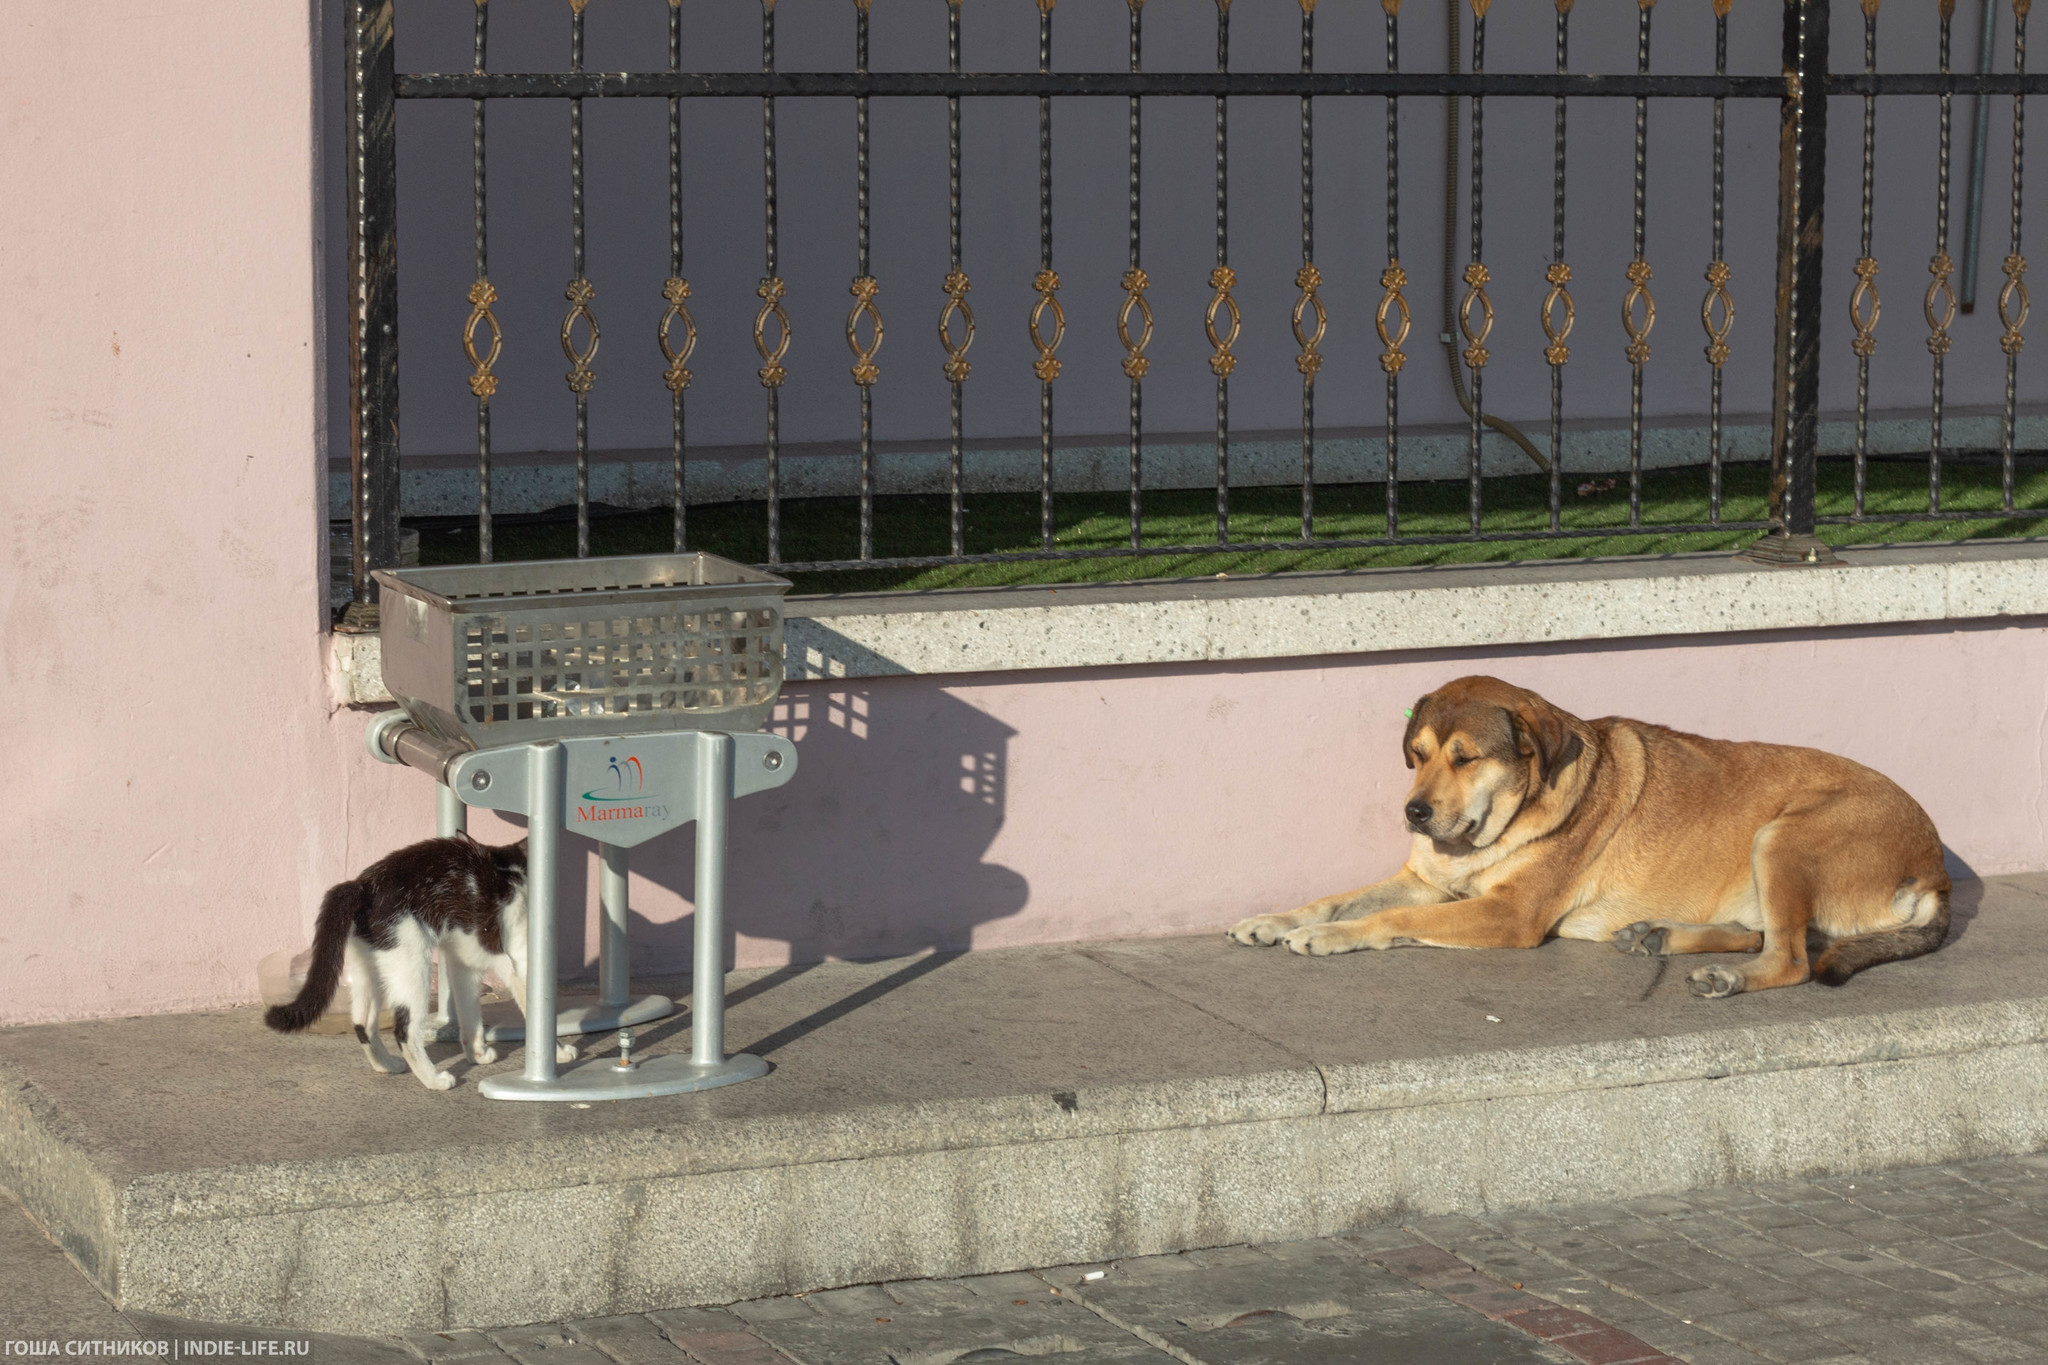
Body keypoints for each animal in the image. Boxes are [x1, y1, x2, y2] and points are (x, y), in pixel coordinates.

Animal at [262, 834, 577, 1088]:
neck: (509, 872)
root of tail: (362, 884)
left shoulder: (463, 963)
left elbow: (470, 1012)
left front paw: (476, 1053)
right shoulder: (517, 962)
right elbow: (535, 1013)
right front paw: (559, 1052)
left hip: (371, 968)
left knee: (362, 1023)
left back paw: (386, 1065)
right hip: (412, 964)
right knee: (405, 1030)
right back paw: (433, 1080)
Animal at [1228, 679, 1949, 998]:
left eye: (1465, 758)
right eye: (1419, 753)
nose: (1414, 812)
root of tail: (1935, 863)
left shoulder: (1508, 914)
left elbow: (1390, 919)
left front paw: (1329, 937)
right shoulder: (1424, 879)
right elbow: (1335, 898)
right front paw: (1275, 919)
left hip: (1783, 834)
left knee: (1792, 958)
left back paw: (1723, 974)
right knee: (1764, 934)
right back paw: (1658, 936)